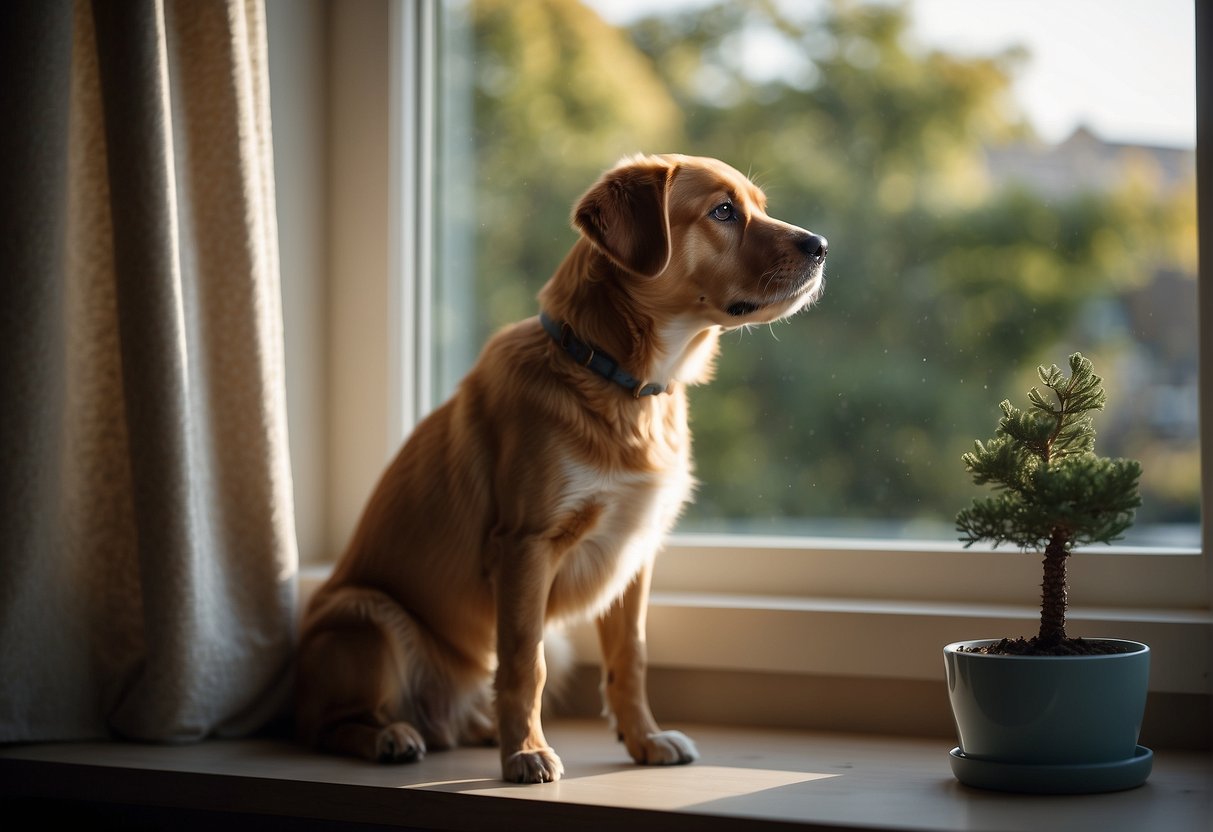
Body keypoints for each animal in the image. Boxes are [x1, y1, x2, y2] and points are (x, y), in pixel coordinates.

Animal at [295, 153, 824, 785]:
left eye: (761, 207)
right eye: (723, 211)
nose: (821, 245)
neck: (621, 383)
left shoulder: (633, 550)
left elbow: (630, 657)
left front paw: (643, 740)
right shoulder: (526, 544)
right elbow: (527, 663)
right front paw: (525, 752)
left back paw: (473, 726)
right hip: (366, 616)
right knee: (323, 724)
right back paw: (390, 736)